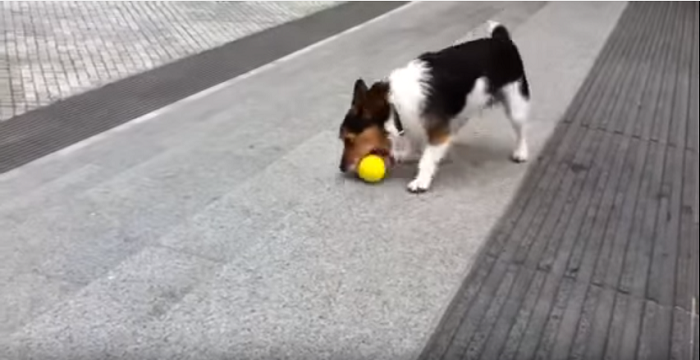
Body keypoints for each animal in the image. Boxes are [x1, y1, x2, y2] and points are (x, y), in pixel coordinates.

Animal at [340, 20, 532, 193]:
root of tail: (501, 39)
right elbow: (414, 142)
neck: (394, 103)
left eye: (349, 139)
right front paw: (406, 154)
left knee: (521, 130)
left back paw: (521, 152)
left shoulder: (437, 132)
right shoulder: (413, 121)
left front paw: (421, 180)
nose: (341, 168)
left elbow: (427, 158)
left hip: (516, 103)